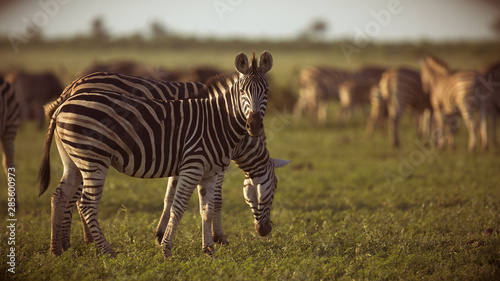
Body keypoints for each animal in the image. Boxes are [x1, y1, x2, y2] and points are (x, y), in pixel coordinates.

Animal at [38, 50, 274, 258]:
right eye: (272, 190)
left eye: (267, 92)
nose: (266, 231)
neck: (219, 120)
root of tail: (67, 97)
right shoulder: (198, 165)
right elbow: (202, 203)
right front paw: (212, 240)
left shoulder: (190, 164)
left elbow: (185, 202)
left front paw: (189, 244)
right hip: (94, 159)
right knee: (85, 203)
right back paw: (103, 250)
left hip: (73, 159)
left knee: (61, 196)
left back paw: (59, 248)